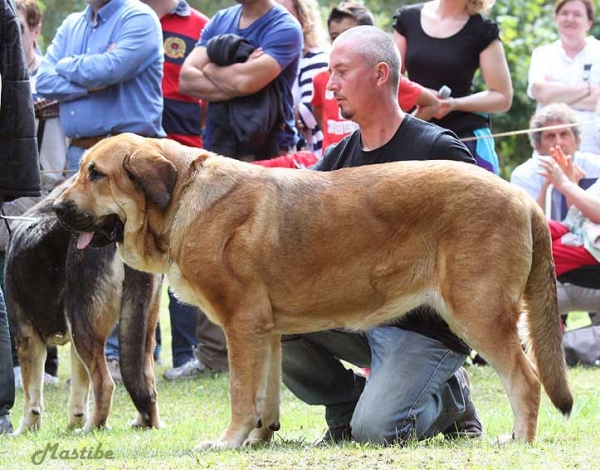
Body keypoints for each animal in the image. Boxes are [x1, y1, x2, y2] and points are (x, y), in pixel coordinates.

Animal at [5, 183, 164, 434]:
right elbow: (79, 395)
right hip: (140, 328)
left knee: (105, 384)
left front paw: (26, 429)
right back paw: (144, 423)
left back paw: (92, 428)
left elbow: (32, 398)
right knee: (144, 380)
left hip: (82, 328)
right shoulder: (72, 346)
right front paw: (73, 424)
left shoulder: (27, 338)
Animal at [54, 133, 576, 448]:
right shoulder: (265, 330)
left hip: (478, 311)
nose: (57, 208)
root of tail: (522, 197)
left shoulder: (240, 324)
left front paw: (228, 441)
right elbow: (264, 396)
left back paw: (519, 440)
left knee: (526, 381)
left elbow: (240, 393)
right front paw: (258, 439)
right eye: (81, 170)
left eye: (96, 174)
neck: (183, 196)